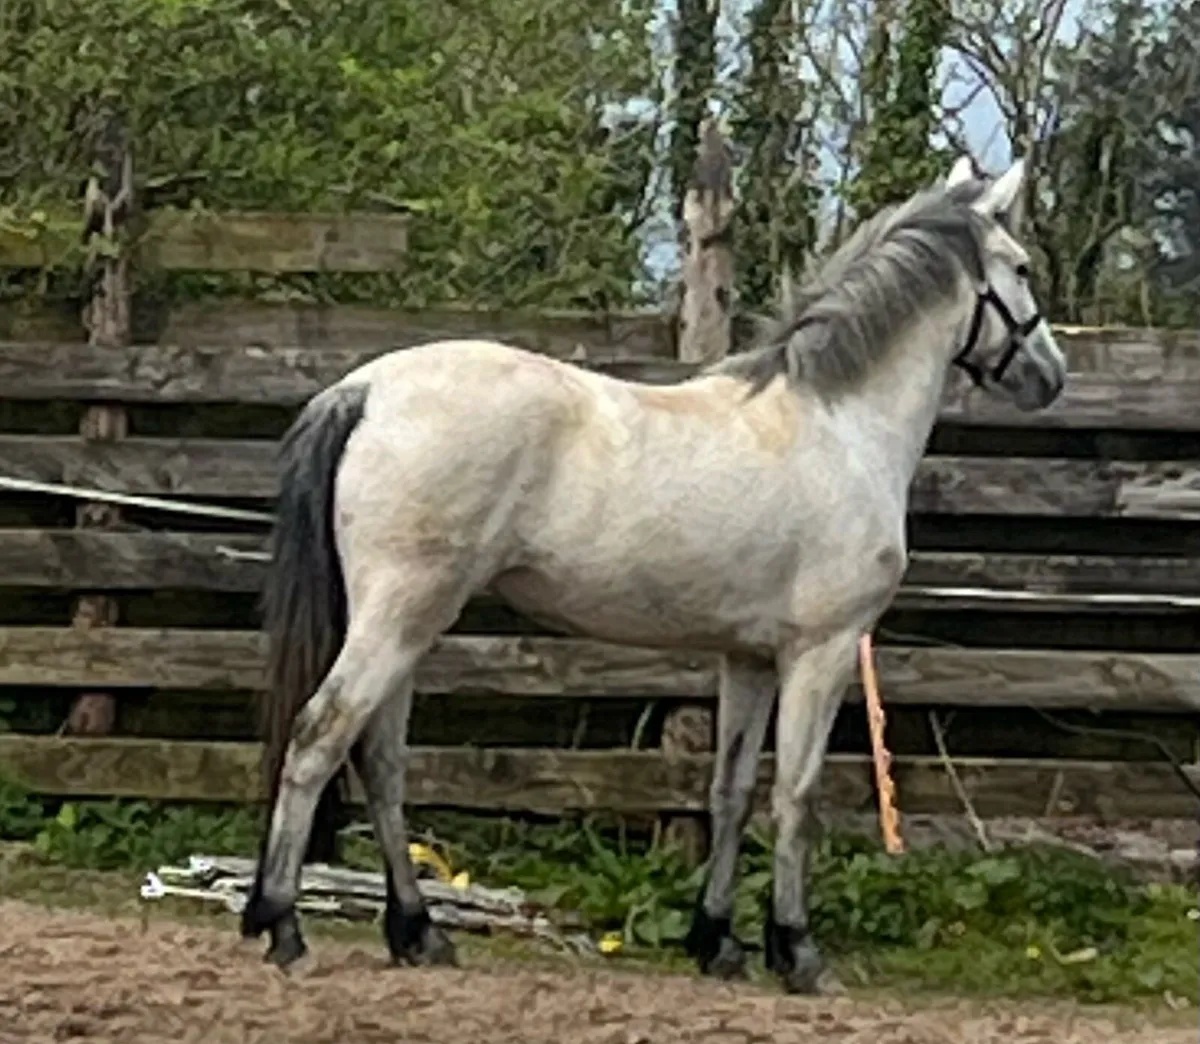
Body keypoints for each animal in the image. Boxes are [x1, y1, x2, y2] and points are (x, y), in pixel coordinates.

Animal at [239, 155, 1066, 994]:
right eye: (1021, 267)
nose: (1050, 377)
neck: (837, 426)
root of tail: (365, 391)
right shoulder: (822, 653)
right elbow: (796, 796)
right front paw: (798, 953)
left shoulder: (749, 658)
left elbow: (731, 792)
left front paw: (718, 942)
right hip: (400, 617)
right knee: (319, 736)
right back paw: (283, 926)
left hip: (404, 625)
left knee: (380, 761)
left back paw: (417, 932)